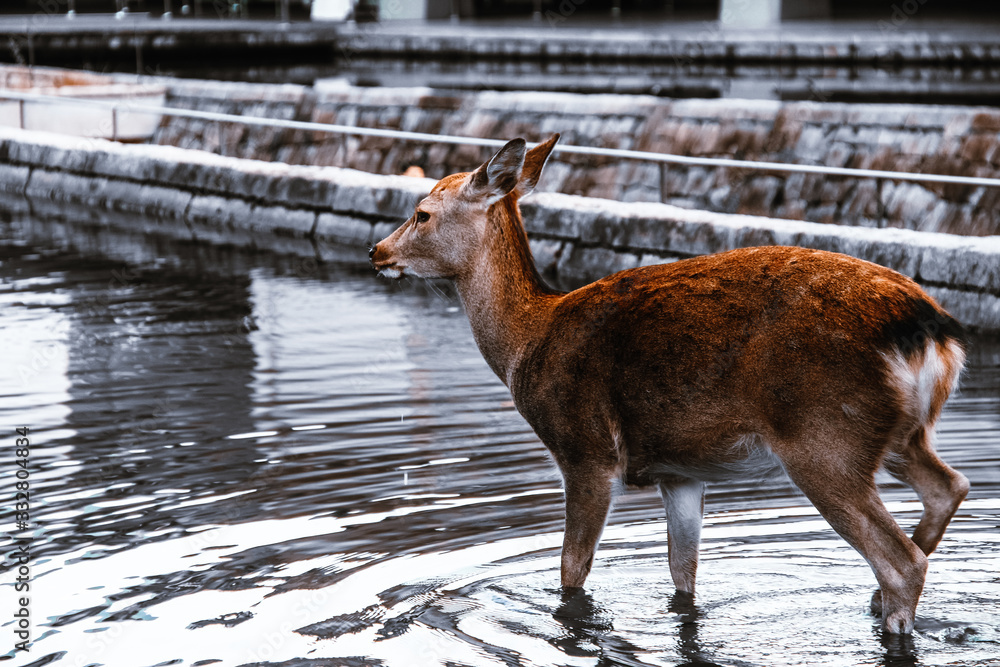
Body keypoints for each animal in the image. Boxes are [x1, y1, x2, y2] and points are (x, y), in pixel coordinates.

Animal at [369, 134, 969, 634]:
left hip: (824, 436)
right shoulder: (681, 471)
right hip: (898, 435)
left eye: (421, 213)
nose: (377, 251)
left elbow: (571, 569)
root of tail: (930, 330)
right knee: (950, 486)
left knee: (902, 561)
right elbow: (683, 574)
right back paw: (877, 599)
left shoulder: (586, 450)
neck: (528, 342)